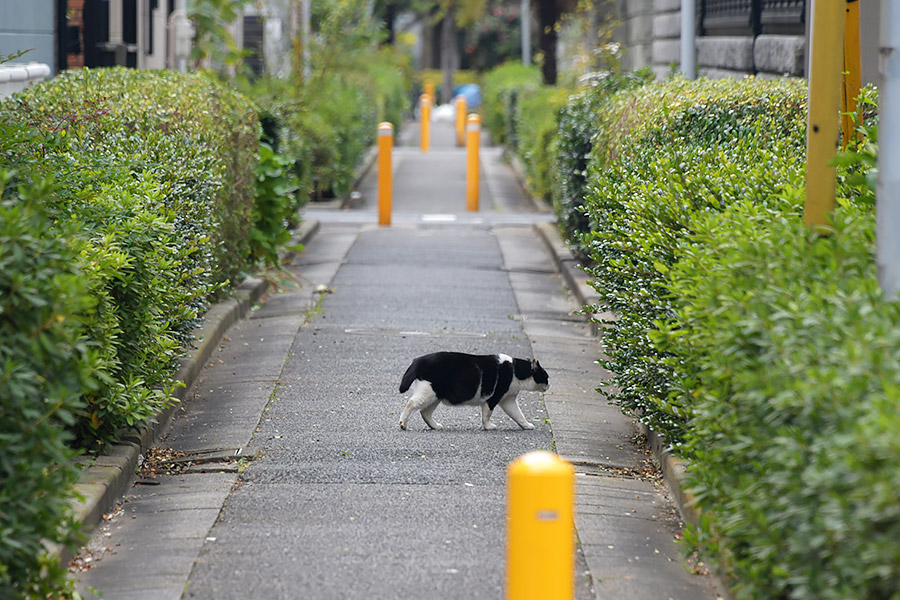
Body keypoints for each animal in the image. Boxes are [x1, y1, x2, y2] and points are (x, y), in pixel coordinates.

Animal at [400, 352, 548, 432]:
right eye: (546, 377)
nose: (549, 385)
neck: (516, 372)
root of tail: (419, 360)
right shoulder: (492, 399)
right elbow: (487, 415)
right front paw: (488, 426)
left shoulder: (508, 401)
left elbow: (518, 415)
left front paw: (526, 426)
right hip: (428, 392)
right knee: (412, 403)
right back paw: (403, 423)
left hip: (436, 396)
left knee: (424, 412)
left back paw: (435, 426)